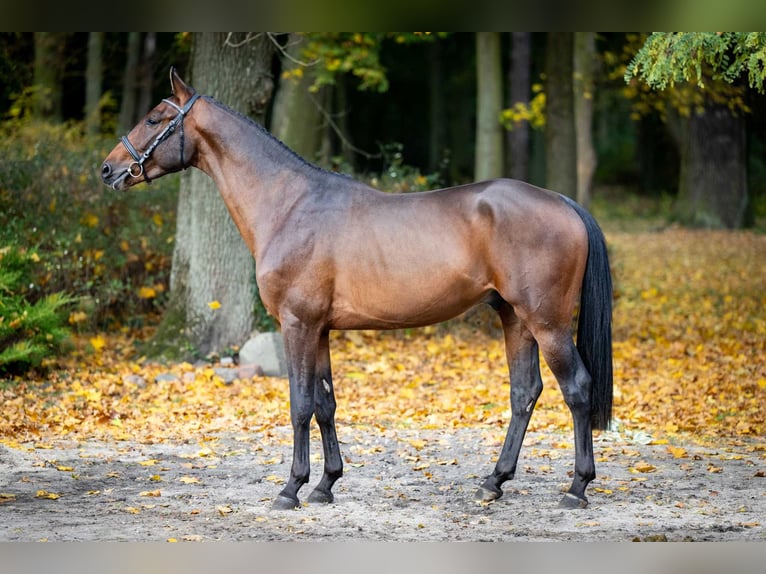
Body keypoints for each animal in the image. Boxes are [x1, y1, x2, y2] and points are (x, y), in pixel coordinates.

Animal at [102, 68, 616, 512]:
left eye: (155, 117)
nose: (109, 169)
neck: (289, 205)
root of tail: (562, 202)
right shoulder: (320, 329)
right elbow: (325, 404)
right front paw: (325, 484)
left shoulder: (297, 324)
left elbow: (300, 405)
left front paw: (290, 488)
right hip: (514, 318)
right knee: (524, 392)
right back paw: (493, 481)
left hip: (546, 322)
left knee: (576, 388)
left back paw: (577, 487)